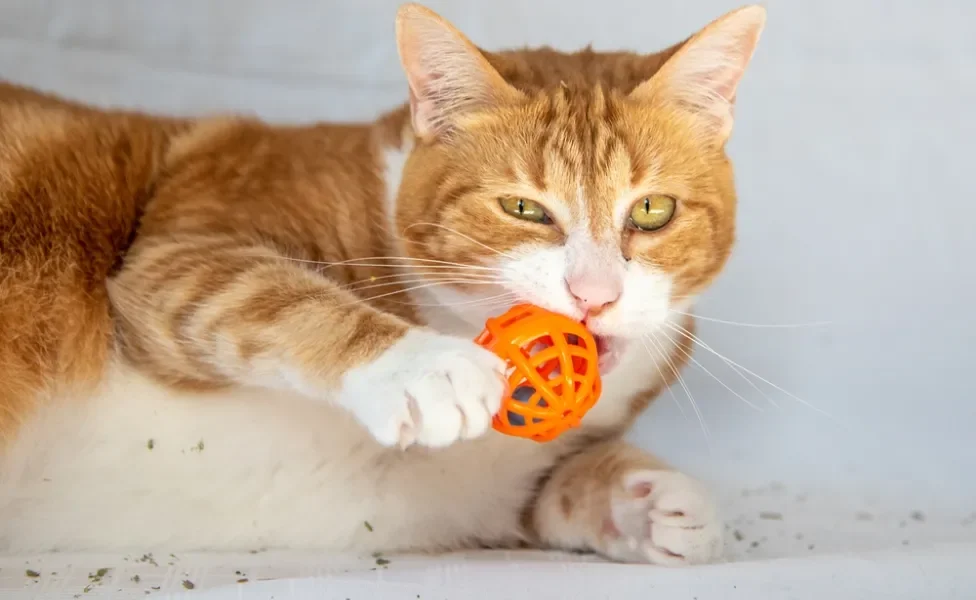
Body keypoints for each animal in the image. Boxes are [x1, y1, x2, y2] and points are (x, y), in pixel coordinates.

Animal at [0, 2, 764, 564]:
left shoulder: (494, 489)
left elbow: (552, 490)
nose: (593, 295)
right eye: (523, 209)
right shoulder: (178, 250)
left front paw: (646, 497)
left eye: (652, 210)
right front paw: (420, 366)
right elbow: (277, 297)